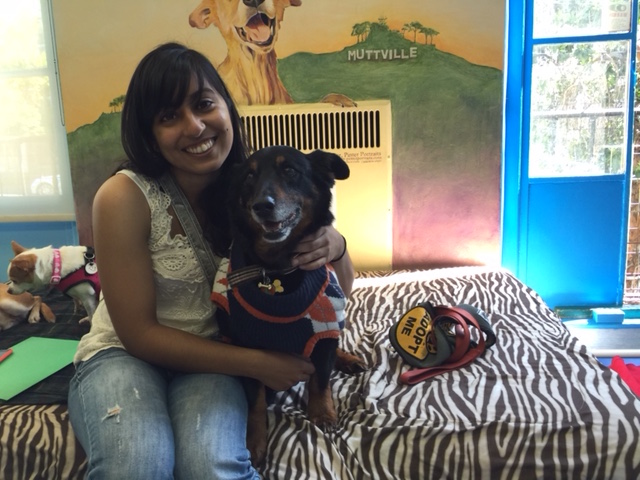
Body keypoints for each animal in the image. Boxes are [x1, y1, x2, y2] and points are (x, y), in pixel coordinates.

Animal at [212, 144, 364, 464]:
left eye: (290, 170)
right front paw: (255, 440)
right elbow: (256, 400)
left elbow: (321, 378)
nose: (262, 206)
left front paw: (322, 412)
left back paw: (346, 359)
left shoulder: (325, 326)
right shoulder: (246, 347)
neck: (276, 270)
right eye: (249, 177)